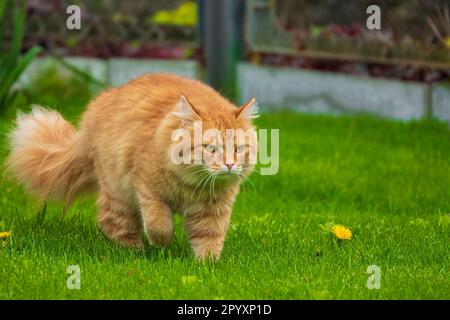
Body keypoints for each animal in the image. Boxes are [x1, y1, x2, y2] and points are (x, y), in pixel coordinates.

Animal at [5, 74, 258, 262]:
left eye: (238, 148)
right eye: (210, 148)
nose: (229, 164)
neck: (192, 185)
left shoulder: (213, 209)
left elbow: (209, 238)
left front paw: (206, 264)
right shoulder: (148, 190)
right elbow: (159, 225)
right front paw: (160, 244)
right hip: (118, 192)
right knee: (111, 221)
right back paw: (133, 253)